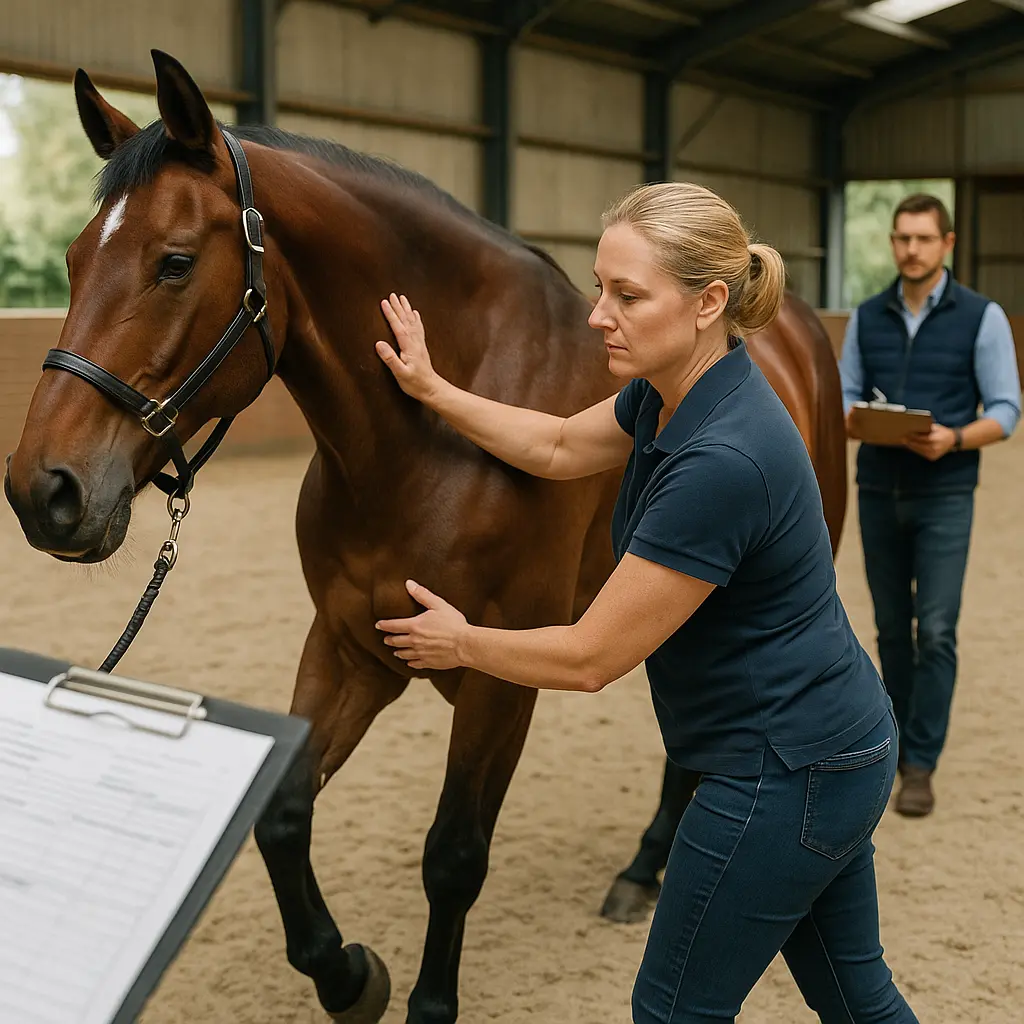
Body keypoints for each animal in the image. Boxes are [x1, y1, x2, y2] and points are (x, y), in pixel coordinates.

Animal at [2, 50, 845, 1024]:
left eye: (174, 263)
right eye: (72, 262)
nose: (42, 491)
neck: (423, 444)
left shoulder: (498, 681)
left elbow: (453, 855)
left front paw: (427, 1001)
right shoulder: (350, 649)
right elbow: (282, 815)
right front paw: (347, 975)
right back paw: (645, 868)